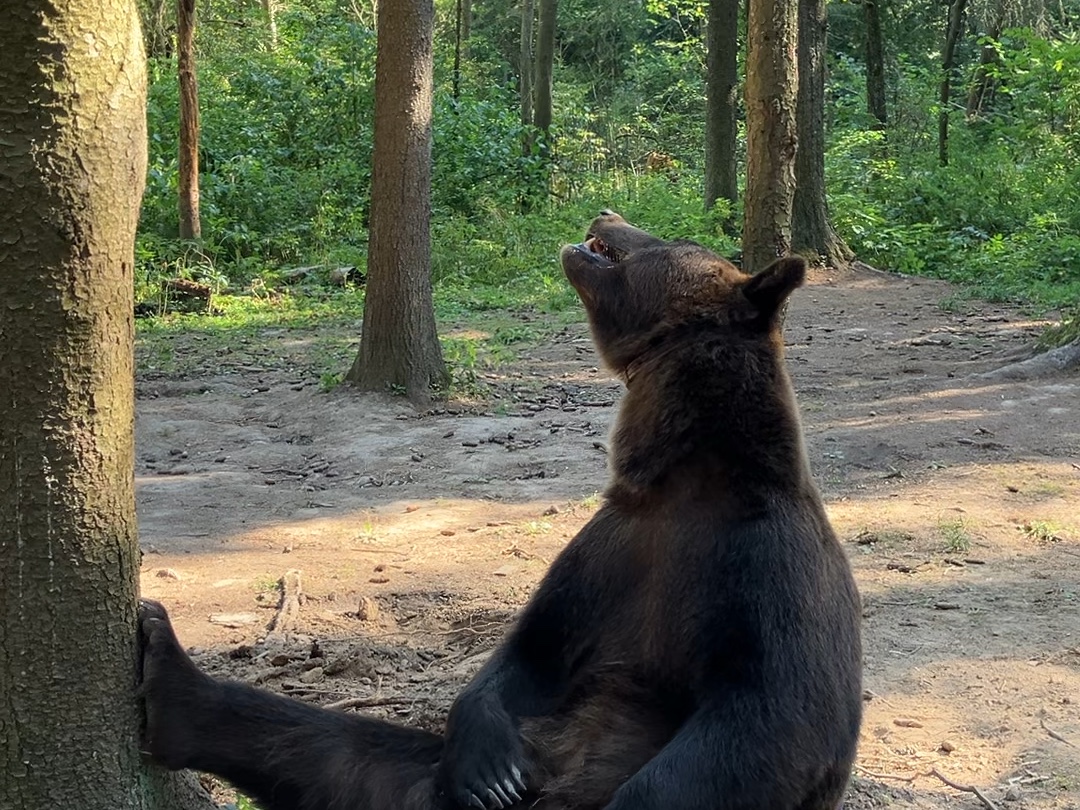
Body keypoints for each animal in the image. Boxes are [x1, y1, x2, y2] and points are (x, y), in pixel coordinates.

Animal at [137, 212, 859, 810]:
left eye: (669, 238)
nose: (607, 214)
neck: (686, 478)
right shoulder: (610, 554)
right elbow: (529, 652)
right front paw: (492, 771)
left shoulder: (758, 568)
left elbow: (771, 718)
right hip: (420, 784)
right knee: (335, 749)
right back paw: (173, 678)